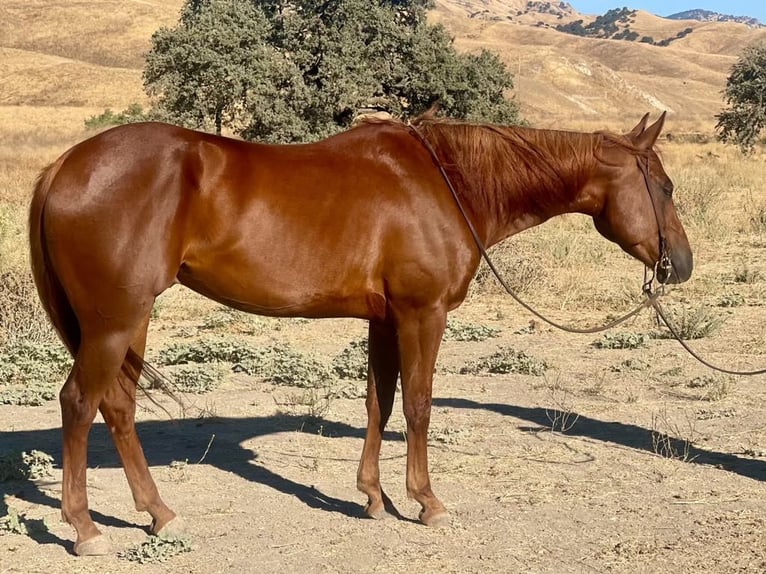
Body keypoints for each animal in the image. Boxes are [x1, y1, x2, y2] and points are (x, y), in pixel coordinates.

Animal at [29, 111, 692, 555]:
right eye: (663, 186)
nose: (680, 265)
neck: (445, 182)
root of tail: (64, 165)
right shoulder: (424, 313)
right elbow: (419, 406)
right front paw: (426, 503)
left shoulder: (385, 318)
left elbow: (380, 402)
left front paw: (373, 498)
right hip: (113, 322)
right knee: (80, 403)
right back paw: (86, 529)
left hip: (130, 321)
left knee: (117, 407)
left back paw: (159, 513)